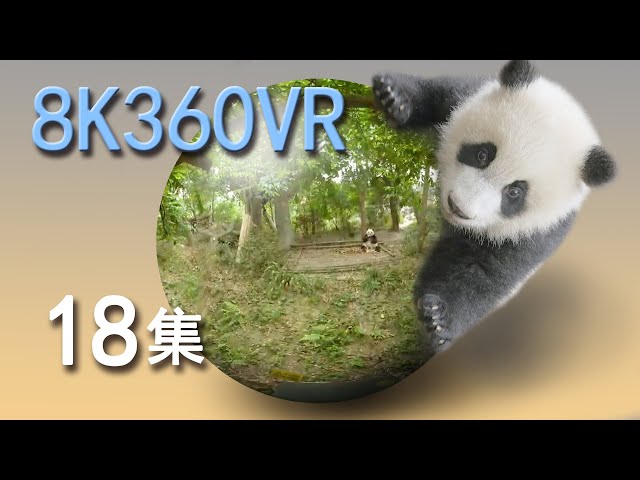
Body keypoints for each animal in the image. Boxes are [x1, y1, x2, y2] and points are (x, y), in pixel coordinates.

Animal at [373, 60, 616, 356]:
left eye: (514, 192)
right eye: (482, 154)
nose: (459, 207)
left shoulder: (537, 232)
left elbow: (481, 271)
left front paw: (439, 319)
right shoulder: (465, 95)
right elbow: (435, 94)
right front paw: (394, 98)